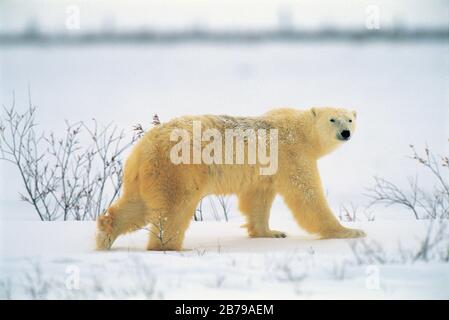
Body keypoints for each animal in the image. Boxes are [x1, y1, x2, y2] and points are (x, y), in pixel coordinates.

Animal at [96, 106, 366, 251]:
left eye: (350, 119)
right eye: (332, 119)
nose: (346, 132)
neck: (300, 130)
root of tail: (144, 147)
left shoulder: (265, 172)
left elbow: (257, 200)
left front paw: (271, 233)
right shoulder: (292, 154)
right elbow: (308, 197)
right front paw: (350, 231)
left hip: (147, 175)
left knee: (135, 206)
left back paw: (105, 236)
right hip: (178, 169)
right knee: (174, 209)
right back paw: (170, 246)